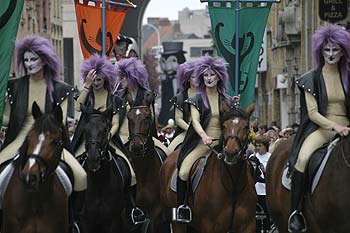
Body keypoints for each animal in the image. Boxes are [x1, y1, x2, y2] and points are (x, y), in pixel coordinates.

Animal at [160, 102, 256, 233]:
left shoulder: (248, 225)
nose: (231, 153)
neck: (233, 185)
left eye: (246, 126)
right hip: (177, 223)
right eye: (224, 126)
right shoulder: (210, 226)